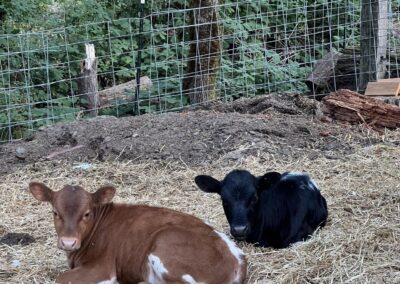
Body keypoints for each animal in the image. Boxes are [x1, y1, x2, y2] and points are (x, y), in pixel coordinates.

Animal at [28, 183, 245, 282]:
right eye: (55, 212)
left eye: (87, 213)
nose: (68, 242)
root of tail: (238, 261)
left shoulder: (101, 267)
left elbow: (61, 278)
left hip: (166, 245)